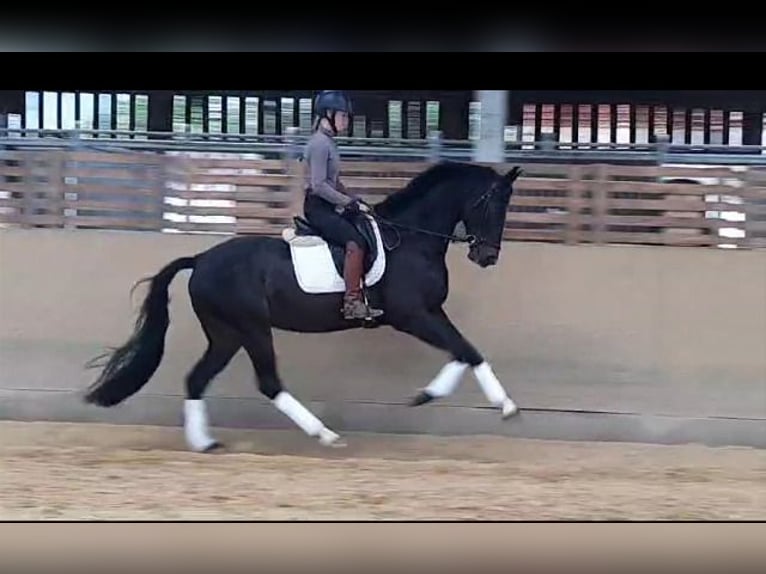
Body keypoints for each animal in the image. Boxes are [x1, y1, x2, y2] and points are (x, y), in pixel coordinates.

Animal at [85, 162, 528, 454]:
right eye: (493, 204)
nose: (487, 257)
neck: (412, 239)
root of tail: (200, 260)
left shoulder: (428, 314)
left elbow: (463, 350)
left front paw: (428, 394)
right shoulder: (412, 316)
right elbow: (468, 350)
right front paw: (504, 406)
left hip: (226, 333)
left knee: (197, 379)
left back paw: (205, 443)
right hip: (251, 328)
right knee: (268, 383)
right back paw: (325, 435)